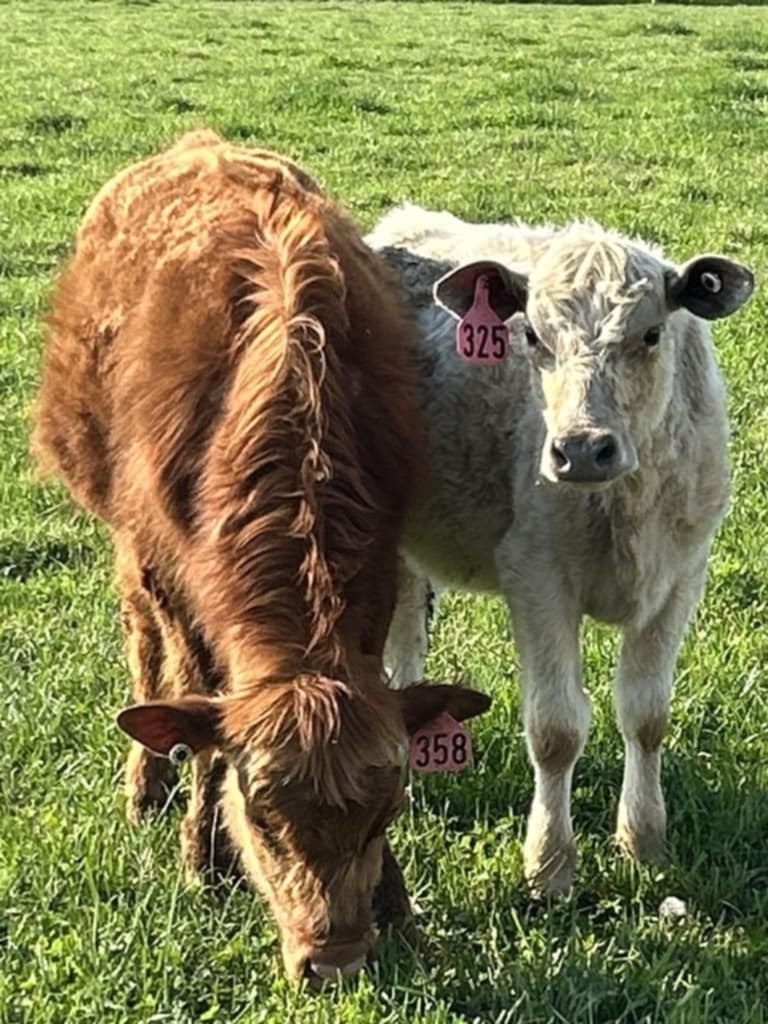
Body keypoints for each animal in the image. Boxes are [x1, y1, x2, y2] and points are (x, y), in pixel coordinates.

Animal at [33, 128, 489, 983]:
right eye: (265, 819)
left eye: (386, 811)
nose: (336, 962)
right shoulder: (175, 577)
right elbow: (200, 708)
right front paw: (202, 853)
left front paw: (397, 901)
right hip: (128, 544)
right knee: (146, 653)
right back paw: (145, 786)